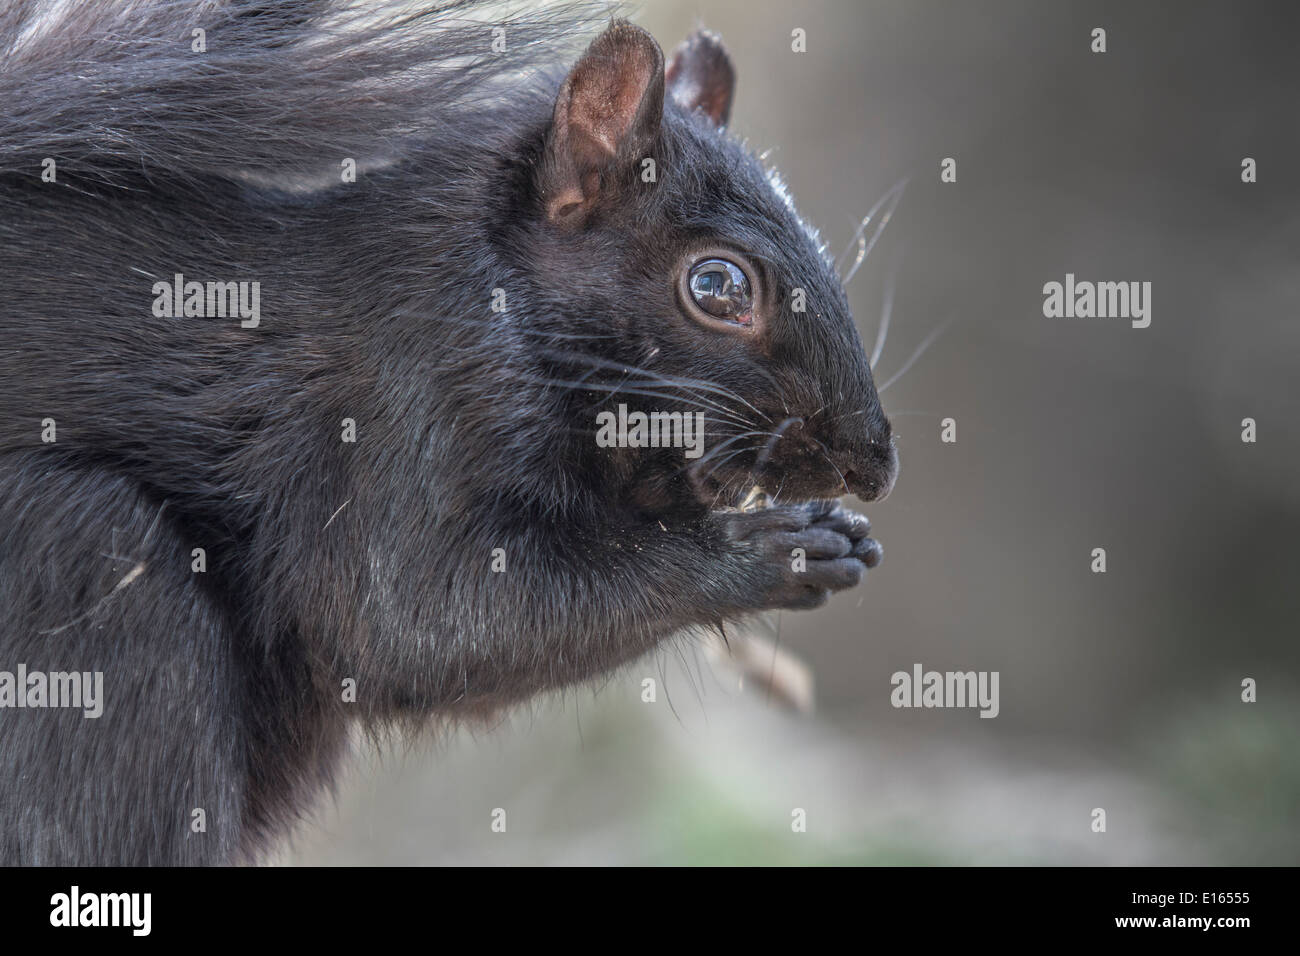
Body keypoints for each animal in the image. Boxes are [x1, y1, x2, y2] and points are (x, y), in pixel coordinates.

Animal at [0, 1, 894, 868]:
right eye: (716, 286)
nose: (871, 468)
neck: (498, 295)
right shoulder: (394, 407)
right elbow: (418, 620)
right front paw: (775, 549)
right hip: (81, 573)